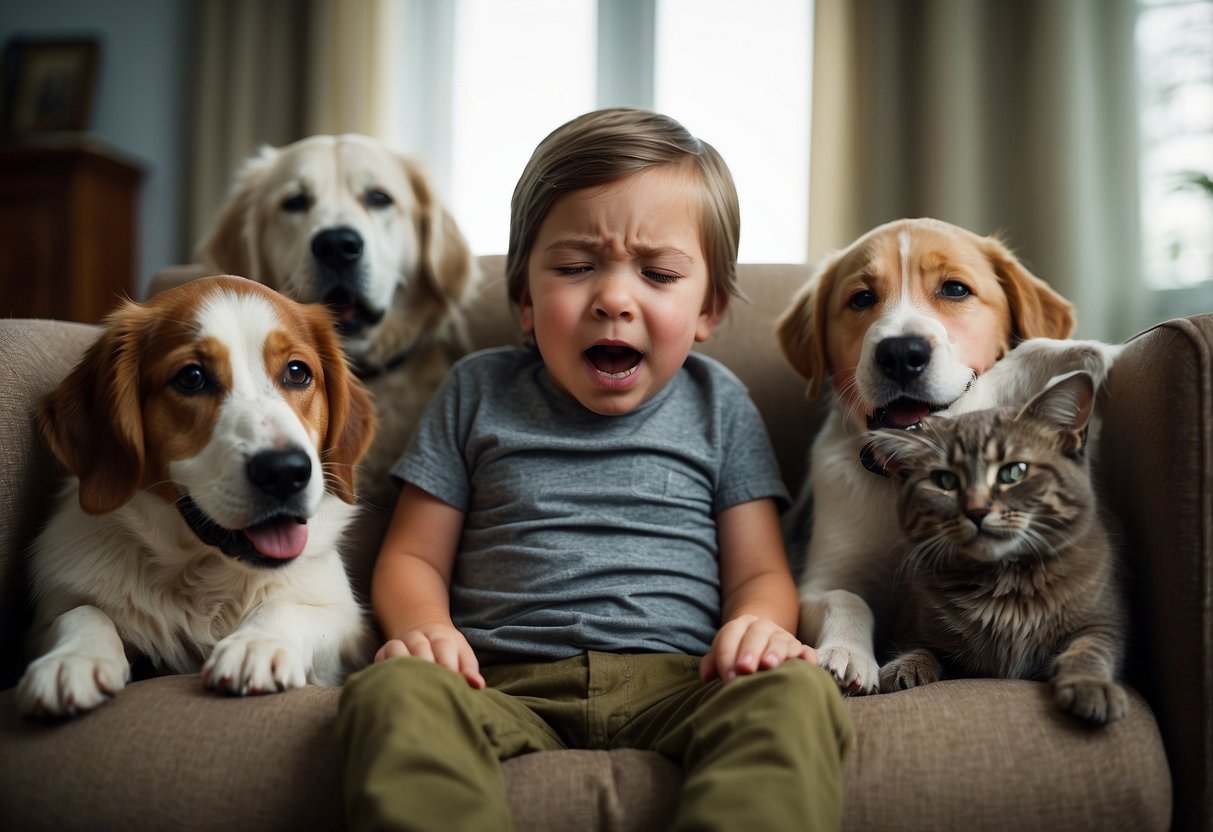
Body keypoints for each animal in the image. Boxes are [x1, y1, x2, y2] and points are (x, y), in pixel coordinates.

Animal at [18, 276, 376, 717]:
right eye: (191, 377)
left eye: (297, 372)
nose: (285, 472)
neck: (203, 575)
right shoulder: (47, 618)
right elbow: (82, 611)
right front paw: (74, 658)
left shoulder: (349, 628)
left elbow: (287, 606)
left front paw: (257, 643)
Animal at [863, 375, 1125, 727]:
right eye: (944, 480)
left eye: (1014, 472)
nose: (976, 510)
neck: (1007, 580)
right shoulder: (909, 623)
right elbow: (921, 646)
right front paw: (906, 665)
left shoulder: (1104, 620)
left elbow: (1091, 647)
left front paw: (1090, 684)